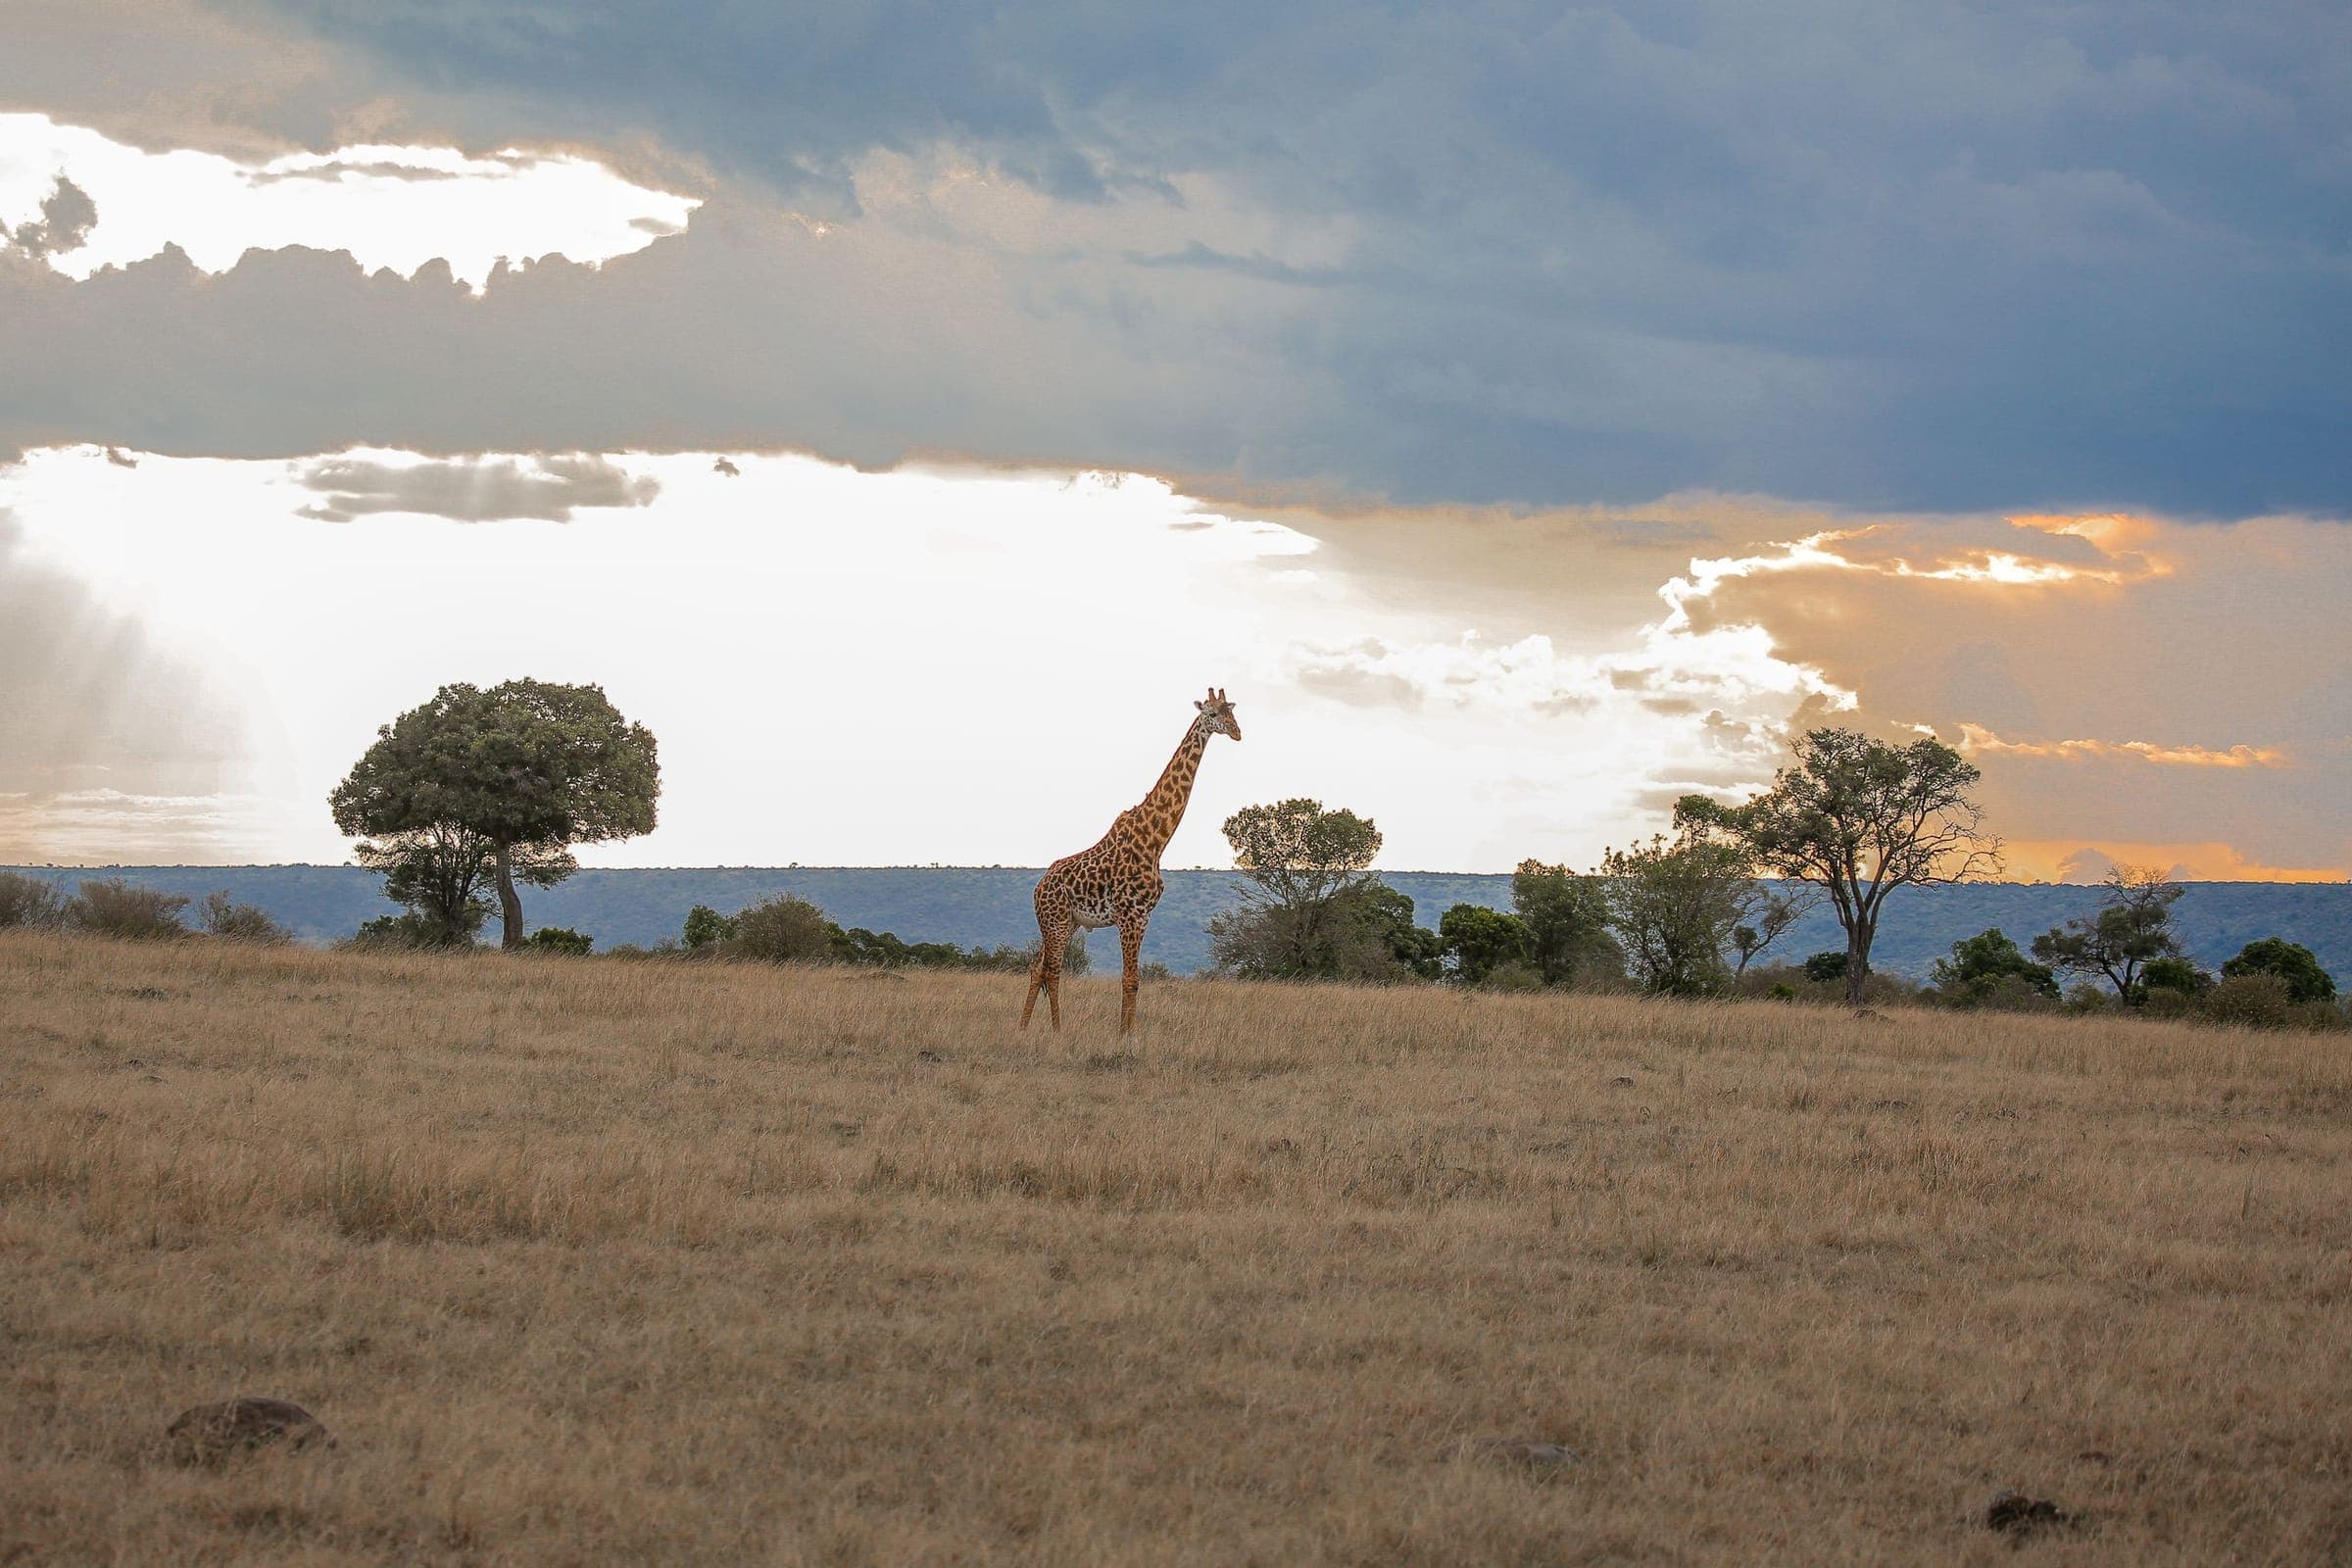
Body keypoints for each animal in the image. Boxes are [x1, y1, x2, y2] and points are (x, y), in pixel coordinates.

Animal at [1022, 688, 1241, 1034]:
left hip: (1068, 923)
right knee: (1053, 972)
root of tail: (1038, 887)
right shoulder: (1129, 915)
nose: (1236, 732)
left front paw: (1129, 1032)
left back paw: (1023, 1027)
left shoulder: (1145, 916)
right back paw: (1057, 1031)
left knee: (1037, 968)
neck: (1156, 841)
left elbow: (1135, 980)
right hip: (1054, 920)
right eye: (1211, 714)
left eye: (1231, 712)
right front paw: (1124, 1036)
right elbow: (1129, 980)